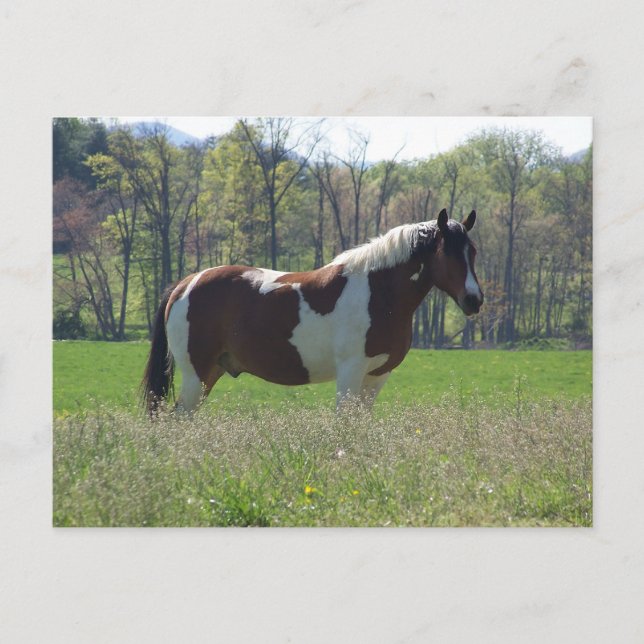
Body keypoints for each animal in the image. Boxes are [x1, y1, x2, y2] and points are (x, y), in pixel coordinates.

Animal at [142, 208, 483, 415]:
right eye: (447, 252)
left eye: (472, 251)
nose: (474, 300)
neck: (378, 292)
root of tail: (185, 284)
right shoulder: (350, 372)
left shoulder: (376, 376)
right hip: (195, 376)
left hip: (210, 373)